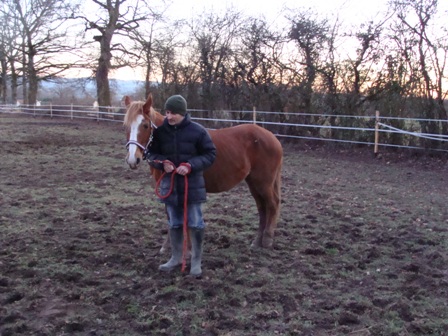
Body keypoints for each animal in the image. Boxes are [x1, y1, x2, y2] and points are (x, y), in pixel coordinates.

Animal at [124, 93, 282, 248]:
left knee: (272, 204)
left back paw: (267, 240)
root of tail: (273, 138)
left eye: (145, 125)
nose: (132, 159)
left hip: (263, 183)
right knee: (262, 207)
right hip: (253, 182)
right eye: (125, 125)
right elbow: (170, 215)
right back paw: (257, 241)